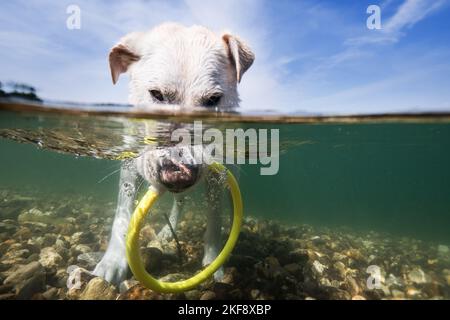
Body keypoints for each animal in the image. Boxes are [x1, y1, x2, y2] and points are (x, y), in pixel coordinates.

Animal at [93, 23, 255, 286]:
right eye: (156, 94)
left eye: (213, 99)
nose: (178, 174)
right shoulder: (130, 164)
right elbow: (122, 212)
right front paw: (112, 263)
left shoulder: (214, 177)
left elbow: (215, 219)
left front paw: (213, 265)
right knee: (180, 203)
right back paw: (166, 234)